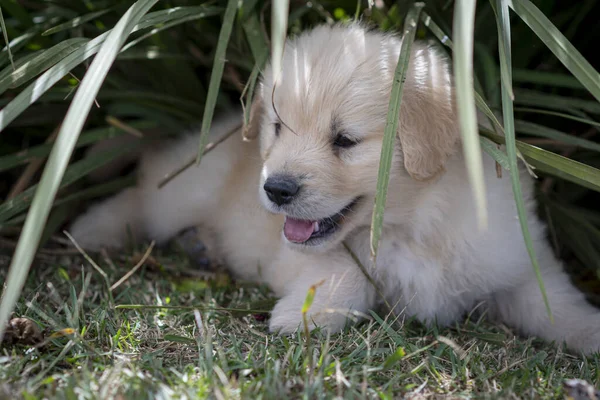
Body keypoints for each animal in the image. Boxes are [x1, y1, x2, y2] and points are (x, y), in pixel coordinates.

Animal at [70, 23, 600, 354]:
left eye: (344, 140)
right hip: (186, 186)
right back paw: (91, 229)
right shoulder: (299, 255)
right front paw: (305, 314)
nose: (276, 189)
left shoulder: (515, 259)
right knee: (144, 190)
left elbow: (557, 304)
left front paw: (589, 334)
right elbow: (346, 272)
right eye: (278, 127)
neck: (415, 222)